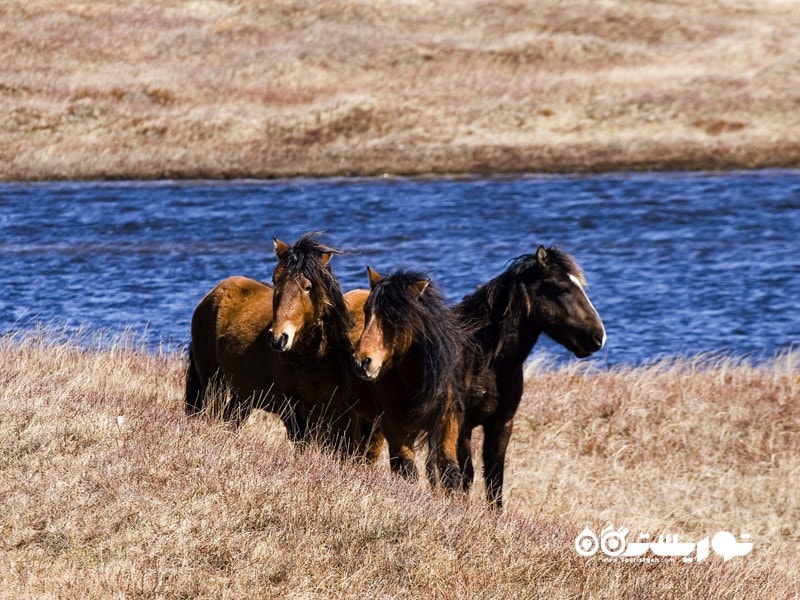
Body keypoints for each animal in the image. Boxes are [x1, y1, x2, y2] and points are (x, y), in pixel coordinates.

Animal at [352, 268, 468, 492]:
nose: (362, 362)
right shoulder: (394, 426)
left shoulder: (447, 421)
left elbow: (450, 471)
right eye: (367, 312)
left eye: (395, 317)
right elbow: (408, 470)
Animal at [450, 244, 608, 506]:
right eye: (563, 289)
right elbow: (465, 477)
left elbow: (495, 480)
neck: (483, 359)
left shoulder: (501, 425)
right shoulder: (462, 427)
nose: (598, 337)